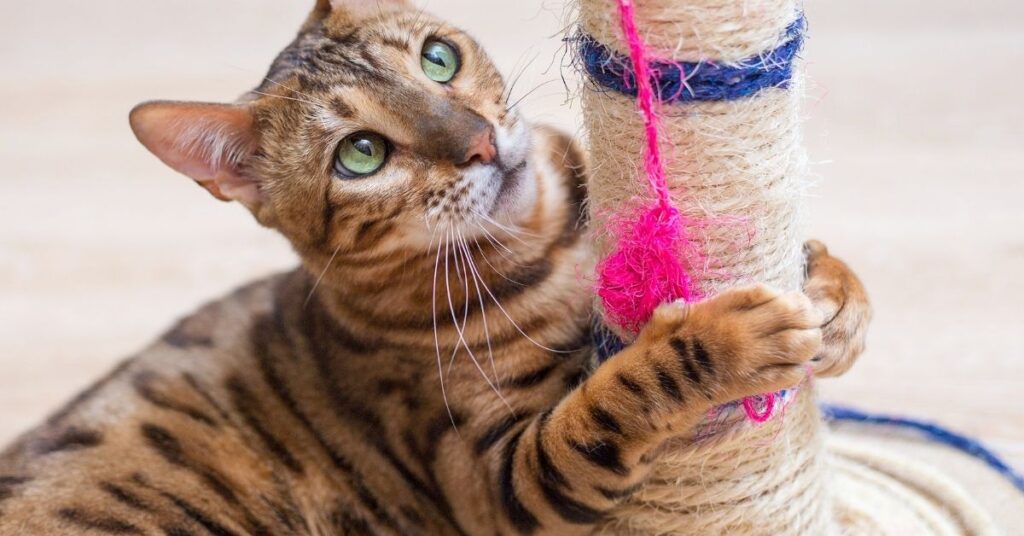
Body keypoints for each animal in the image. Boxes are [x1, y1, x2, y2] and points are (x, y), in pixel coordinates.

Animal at [0, 1, 868, 536]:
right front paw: (730, 340)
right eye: (360, 153)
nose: (479, 140)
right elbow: (618, 395)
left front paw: (833, 297)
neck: (552, 243)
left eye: (439, 58)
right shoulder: (499, 480)